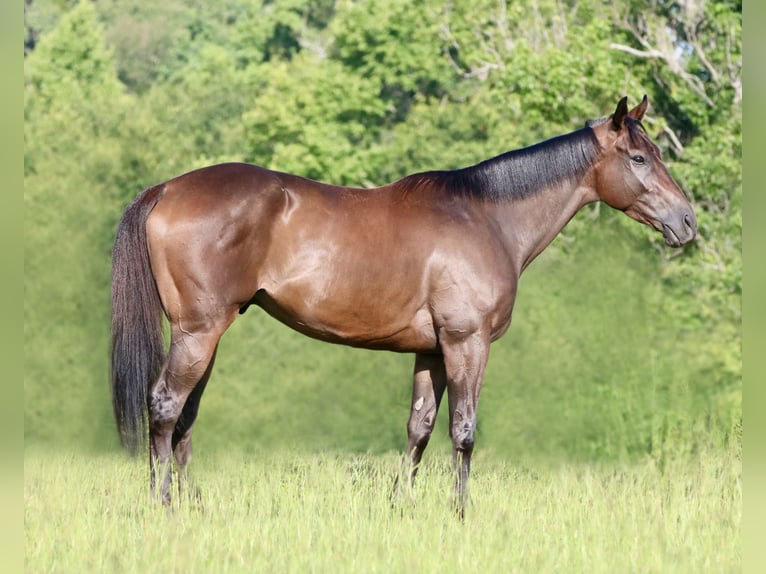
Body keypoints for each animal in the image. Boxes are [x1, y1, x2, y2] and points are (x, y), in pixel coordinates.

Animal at [111, 96, 696, 513]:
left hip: (205, 335)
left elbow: (420, 428)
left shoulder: (431, 351)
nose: (687, 221)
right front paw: (461, 514)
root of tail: (167, 189)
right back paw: (164, 505)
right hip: (199, 332)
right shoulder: (467, 344)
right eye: (639, 157)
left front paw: (401, 507)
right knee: (165, 407)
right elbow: (464, 430)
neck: (486, 217)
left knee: (183, 418)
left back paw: (191, 504)